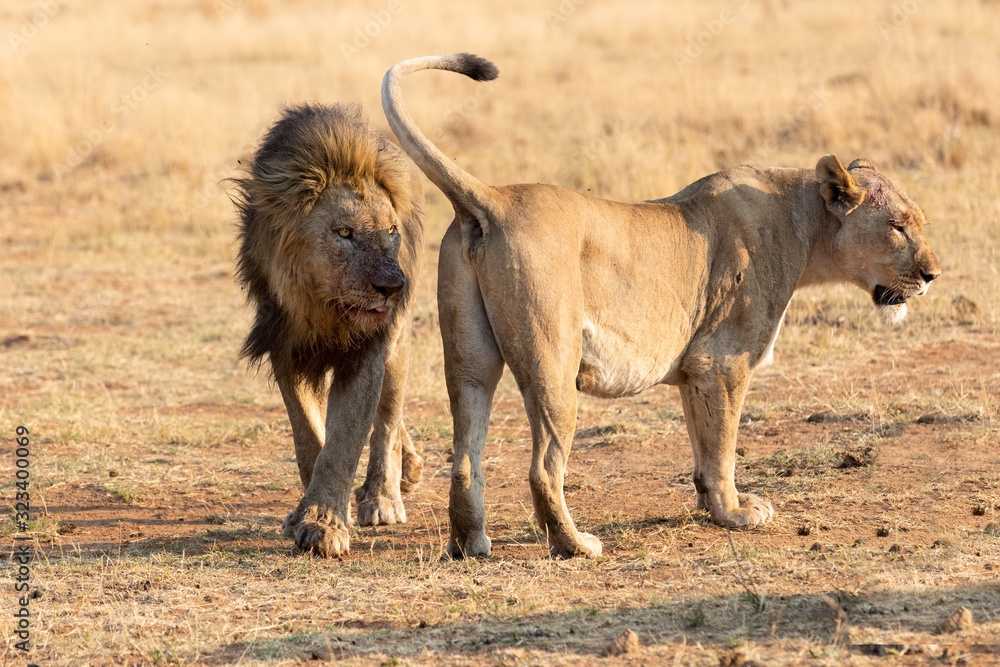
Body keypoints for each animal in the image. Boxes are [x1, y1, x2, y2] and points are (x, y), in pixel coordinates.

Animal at [233, 103, 424, 557]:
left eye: (391, 231)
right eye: (344, 233)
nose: (393, 286)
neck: (324, 308)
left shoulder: (367, 352)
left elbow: (344, 441)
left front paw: (323, 526)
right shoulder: (286, 347)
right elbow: (309, 438)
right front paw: (306, 514)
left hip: (396, 345)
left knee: (387, 422)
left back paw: (383, 496)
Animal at [381, 54, 941, 559]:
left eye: (920, 221)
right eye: (897, 226)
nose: (933, 274)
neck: (804, 223)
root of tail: (494, 197)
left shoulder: (696, 370)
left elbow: (702, 445)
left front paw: (711, 507)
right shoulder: (722, 362)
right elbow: (722, 446)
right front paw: (736, 513)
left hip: (469, 360)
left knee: (464, 458)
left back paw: (471, 544)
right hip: (553, 363)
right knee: (543, 467)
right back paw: (575, 545)